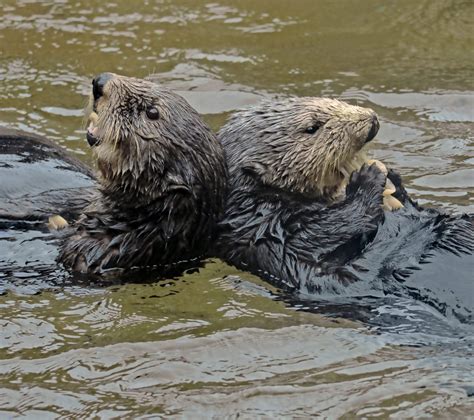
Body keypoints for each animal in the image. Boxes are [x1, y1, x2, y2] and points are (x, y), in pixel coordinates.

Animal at [215, 97, 474, 324]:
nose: (372, 120)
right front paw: (368, 177)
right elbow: (326, 228)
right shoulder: (268, 230)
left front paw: (392, 182)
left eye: (331, 101)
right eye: (312, 128)